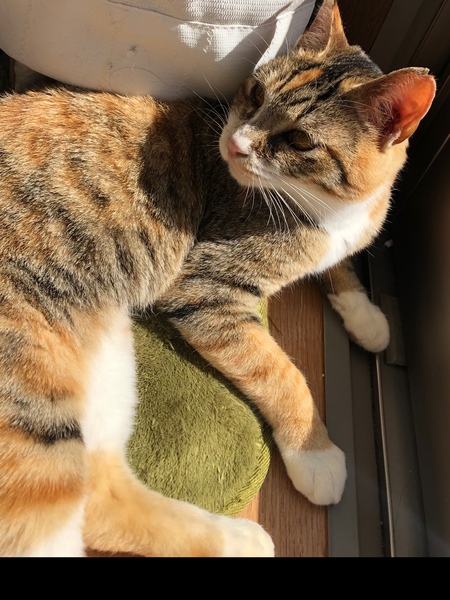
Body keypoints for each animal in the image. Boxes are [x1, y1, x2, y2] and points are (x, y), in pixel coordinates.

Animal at [0, 0, 435, 556]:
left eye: (299, 139)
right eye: (255, 95)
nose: (236, 142)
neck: (331, 210)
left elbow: (341, 265)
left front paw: (369, 318)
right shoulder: (208, 291)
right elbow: (282, 375)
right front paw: (315, 454)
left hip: (108, 369)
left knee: (101, 491)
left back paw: (237, 537)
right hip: (32, 393)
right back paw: (242, 537)